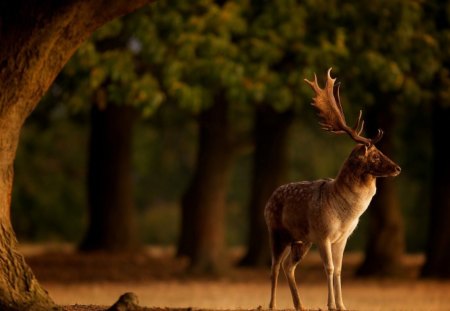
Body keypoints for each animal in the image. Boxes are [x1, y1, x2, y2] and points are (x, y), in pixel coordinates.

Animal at [264, 69, 400, 311]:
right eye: (375, 155)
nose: (397, 168)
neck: (346, 215)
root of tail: (268, 200)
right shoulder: (323, 234)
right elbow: (328, 268)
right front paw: (330, 304)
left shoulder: (342, 238)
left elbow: (338, 270)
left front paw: (342, 305)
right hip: (276, 231)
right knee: (274, 267)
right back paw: (271, 305)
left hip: (301, 240)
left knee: (289, 266)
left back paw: (300, 305)